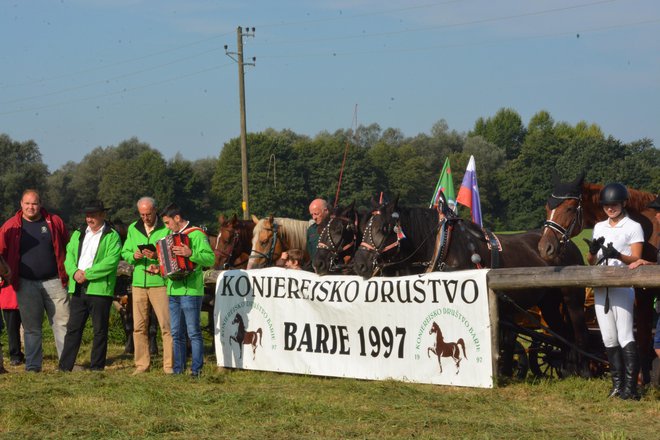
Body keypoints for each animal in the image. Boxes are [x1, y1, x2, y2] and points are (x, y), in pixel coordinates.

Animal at [540, 174, 656, 382]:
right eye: (547, 208)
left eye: (569, 208)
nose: (545, 248)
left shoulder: (646, 291)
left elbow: (643, 335)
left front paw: (642, 380)